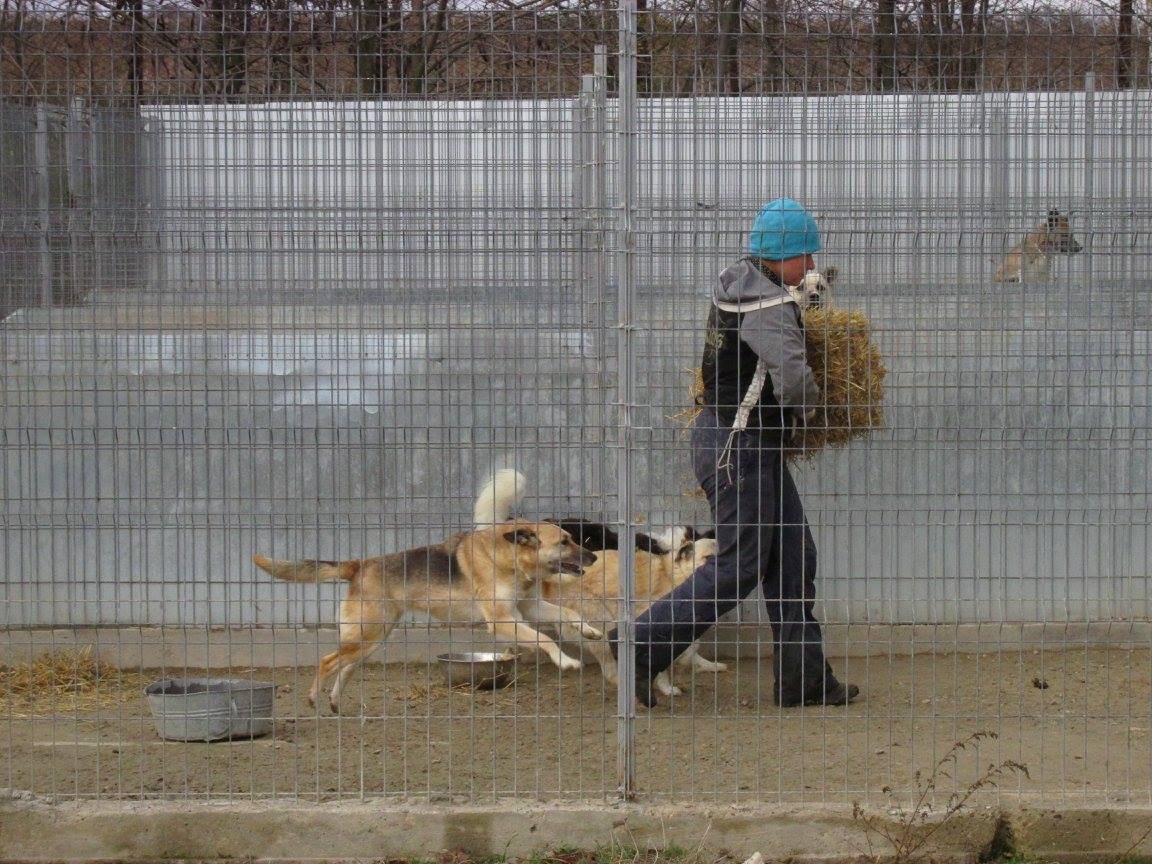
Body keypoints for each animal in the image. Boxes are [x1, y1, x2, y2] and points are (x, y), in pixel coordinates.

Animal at [254, 470, 598, 712]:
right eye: (564, 542)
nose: (594, 558)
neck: (509, 558)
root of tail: (360, 565)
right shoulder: (502, 620)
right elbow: (543, 638)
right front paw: (566, 662)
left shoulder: (527, 607)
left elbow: (567, 613)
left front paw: (590, 630)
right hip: (366, 635)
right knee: (328, 660)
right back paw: (314, 697)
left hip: (371, 639)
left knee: (346, 666)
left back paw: (336, 703)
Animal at [530, 525, 724, 699]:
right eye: (709, 558)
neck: (675, 576)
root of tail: (550, 581)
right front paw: (667, 687)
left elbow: (692, 649)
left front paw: (706, 665)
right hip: (602, 626)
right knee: (609, 671)